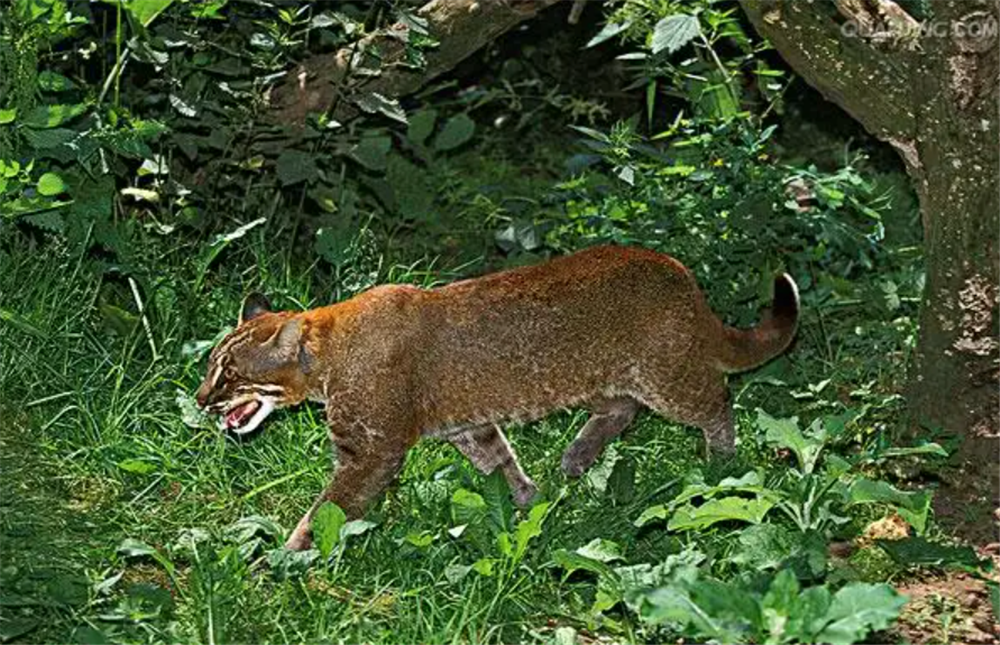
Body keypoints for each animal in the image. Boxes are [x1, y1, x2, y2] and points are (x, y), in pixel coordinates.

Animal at [197, 245, 796, 548]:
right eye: (210, 368)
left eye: (227, 374)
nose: (202, 400)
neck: (326, 349)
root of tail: (678, 271)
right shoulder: (467, 425)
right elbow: (500, 460)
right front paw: (529, 502)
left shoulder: (371, 451)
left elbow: (329, 507)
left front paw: (288, 558)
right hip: (608, 376)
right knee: (621, 409)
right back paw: (577, 458)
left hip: (664, 377)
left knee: (716, 399)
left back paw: (722, 462)